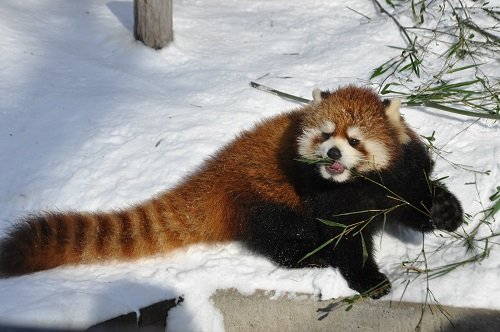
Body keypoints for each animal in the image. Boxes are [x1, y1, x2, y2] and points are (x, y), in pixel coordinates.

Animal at [0, 85, 462, 298]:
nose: (331, 152)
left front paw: (445, 211)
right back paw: (310, 257)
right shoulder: (324, 199)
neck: (357, 184)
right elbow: (344, 240)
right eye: (326, 134)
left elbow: (412, 200)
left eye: (354, 140)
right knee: (282, 236)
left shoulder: (399, 175)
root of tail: (215, 172)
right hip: (266, 198)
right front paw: (369, 279)